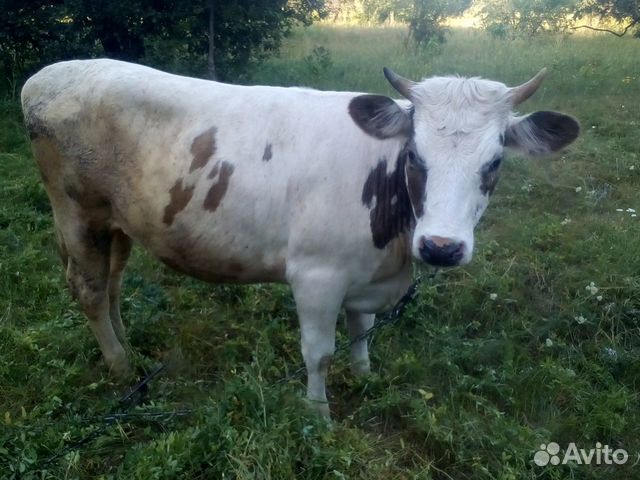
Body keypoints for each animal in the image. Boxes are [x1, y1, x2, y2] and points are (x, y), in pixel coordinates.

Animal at [21, 59, 579, 417]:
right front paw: (318, 414)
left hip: (117, 221)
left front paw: (365, 376)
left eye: (495, 162)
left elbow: (361, 330)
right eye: (416, 157)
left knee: (113, 279)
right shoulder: (316, 275)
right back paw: (118, 366)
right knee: (90, 288)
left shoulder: (364, 273)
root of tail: (47, 75)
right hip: (77, 213)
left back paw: (128, 344)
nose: (440, 247)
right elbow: (319, 352)